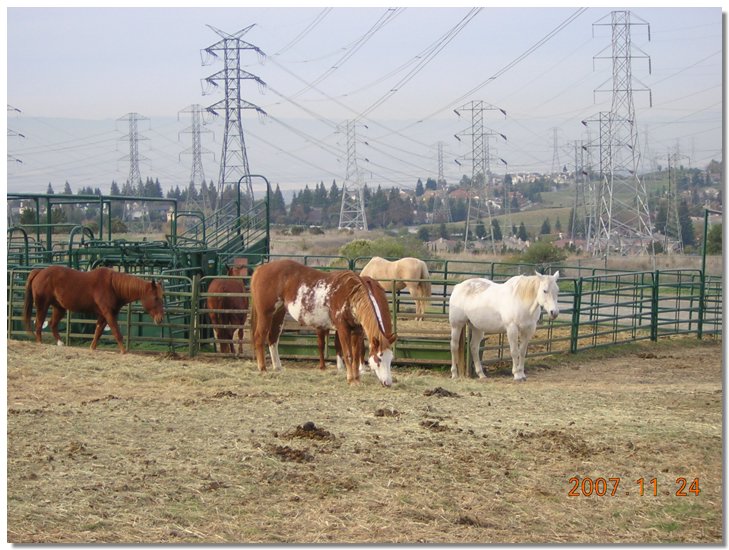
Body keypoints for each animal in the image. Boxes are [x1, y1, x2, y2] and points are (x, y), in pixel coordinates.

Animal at [23, 266, 165, 354]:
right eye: (156, 298)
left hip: (59, 308)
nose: (160, 319)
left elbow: (98, 331)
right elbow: (116, 332)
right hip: (42, 305)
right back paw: (40, 343)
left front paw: (92, 348)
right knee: (39, 324)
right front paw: (124, 351)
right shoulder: (108, 313)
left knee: (52, 324)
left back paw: (60, 343)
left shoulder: (104, 315)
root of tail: (39, 272)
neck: (113, 286)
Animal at [250, 262, 398, 388]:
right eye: (379, 359)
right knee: (259, 337)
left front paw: (357, 379)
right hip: (265, 314)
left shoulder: (357, 330)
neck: (350, 294)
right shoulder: (343, 328)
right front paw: (351, 379)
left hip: (279, 313)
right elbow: (348, 354)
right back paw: (263, 368)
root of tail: (261, 269)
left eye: (391, 359)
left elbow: (356, 355)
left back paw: (278, 367)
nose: (388, 383)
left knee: (273, 338)